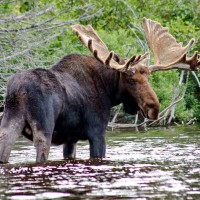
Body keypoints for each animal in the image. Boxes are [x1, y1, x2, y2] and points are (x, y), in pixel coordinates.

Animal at [0, 18, 199, 163]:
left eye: (148, 78)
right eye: (131, 79)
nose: (154, 107)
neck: (109, 91)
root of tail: (18, 90)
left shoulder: (71, 138)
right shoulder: (97, 131)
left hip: (9, 124)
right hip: (44, 128)